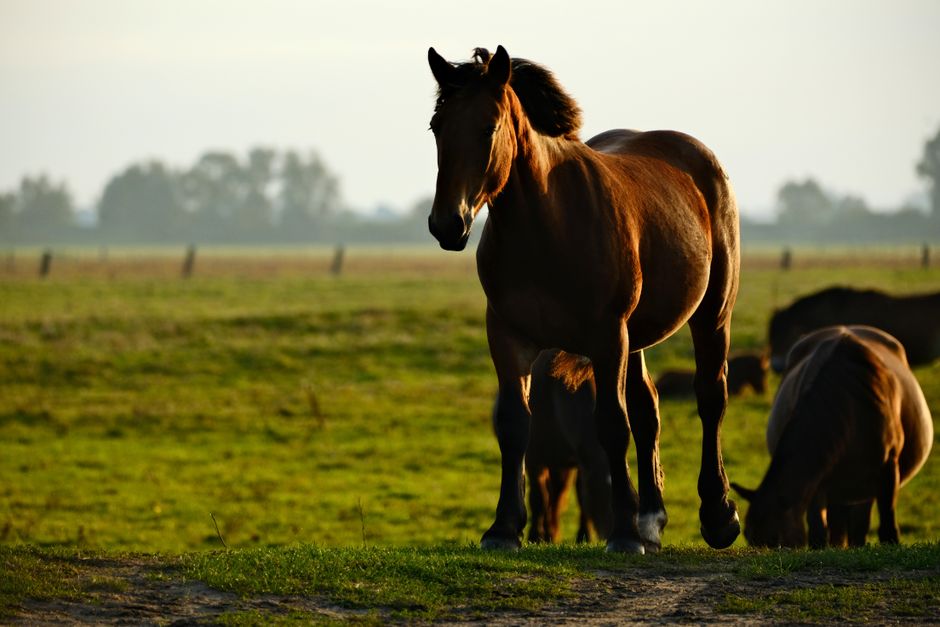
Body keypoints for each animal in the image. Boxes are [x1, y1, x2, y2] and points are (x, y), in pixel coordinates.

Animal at [524, 350, 612, 544]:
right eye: (600, 489)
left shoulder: (579, 462)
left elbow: (579, 499)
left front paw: (584, 536)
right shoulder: (534, 458)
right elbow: (538, 498)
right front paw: (535, 536)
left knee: (557, 495)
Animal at [732, 325, 933, 548]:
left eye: (777, 540)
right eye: (748, 536)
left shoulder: (888, 468)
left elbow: (887, 525)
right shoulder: (818, 481)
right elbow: (818, 530)